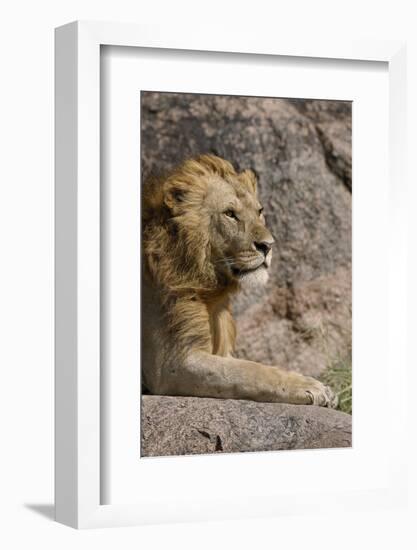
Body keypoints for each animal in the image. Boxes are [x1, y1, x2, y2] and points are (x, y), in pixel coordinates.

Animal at [141, 153, 336, 408]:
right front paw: (312, 386)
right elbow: (252, 372)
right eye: (230, 214)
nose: (268, 246)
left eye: (260, 211)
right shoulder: (173, 364)